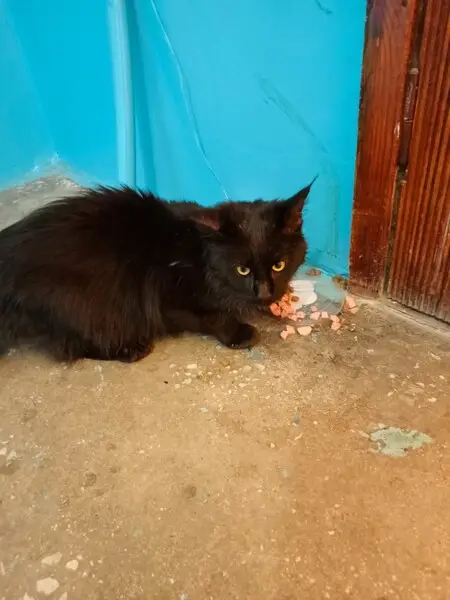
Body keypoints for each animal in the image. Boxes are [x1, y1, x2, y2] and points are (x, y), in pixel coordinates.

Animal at [0, 181, 314, 363]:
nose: (265, 292)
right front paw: (239, 331)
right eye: (243, 269)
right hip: (84, 301)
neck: (199, 254)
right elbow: (213, 316)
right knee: (71, 346)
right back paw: (130, 349)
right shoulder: (164, 300)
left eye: (279, 265)